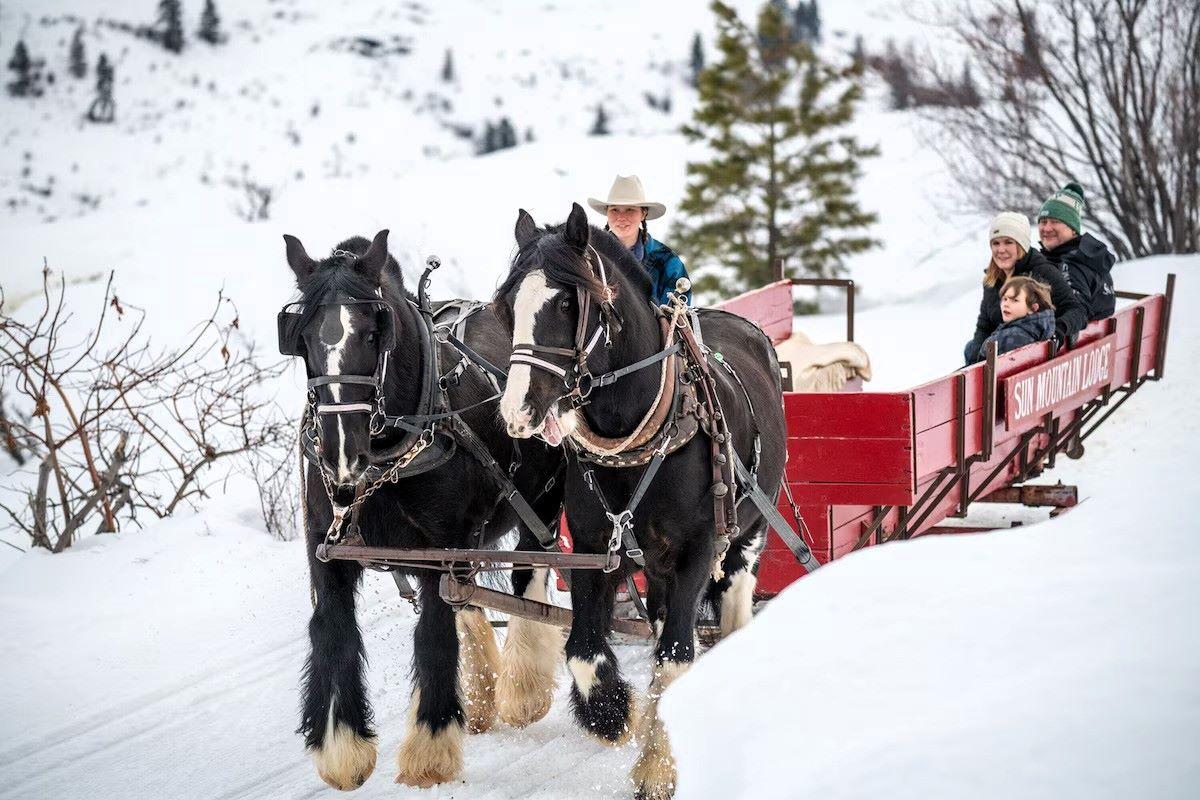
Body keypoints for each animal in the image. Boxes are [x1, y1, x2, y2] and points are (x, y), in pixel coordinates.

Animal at [283, 231, 564, 786]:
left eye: (375, 334)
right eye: (301, 341)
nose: (342, 455)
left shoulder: (443, 550)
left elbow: (433, 632)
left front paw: (430, 746)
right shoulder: (327, 550)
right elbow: (333, 628)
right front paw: (341, 747)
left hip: (541, 501)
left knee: (531, 575)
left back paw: (523, 689)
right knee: (473, 601)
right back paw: (482, 694)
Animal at [489, 208, 787, 800]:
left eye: (566, 303)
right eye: (510, 305)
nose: (517, 411)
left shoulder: (699, 548)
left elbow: (675, 655)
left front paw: (656, 769)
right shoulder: (593, 547)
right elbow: (584, 649)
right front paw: (613, 715)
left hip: (746, 531)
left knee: (732, 600)